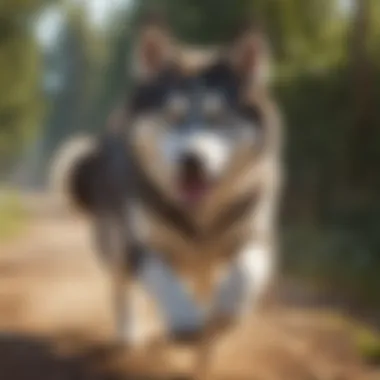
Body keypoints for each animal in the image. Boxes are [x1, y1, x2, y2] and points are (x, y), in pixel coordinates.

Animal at [50, 16, 282, 378]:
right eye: (172, 116)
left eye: (218, 118)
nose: (191, 161)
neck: (198, 218)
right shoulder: (139, 244)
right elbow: (162, 277)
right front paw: (184, 319)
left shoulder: (255, 235)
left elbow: (244, 272)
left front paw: (225, 313)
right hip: (115, 245)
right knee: (122, 288)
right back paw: (132, 332)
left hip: (202, 266)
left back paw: (205, 352)